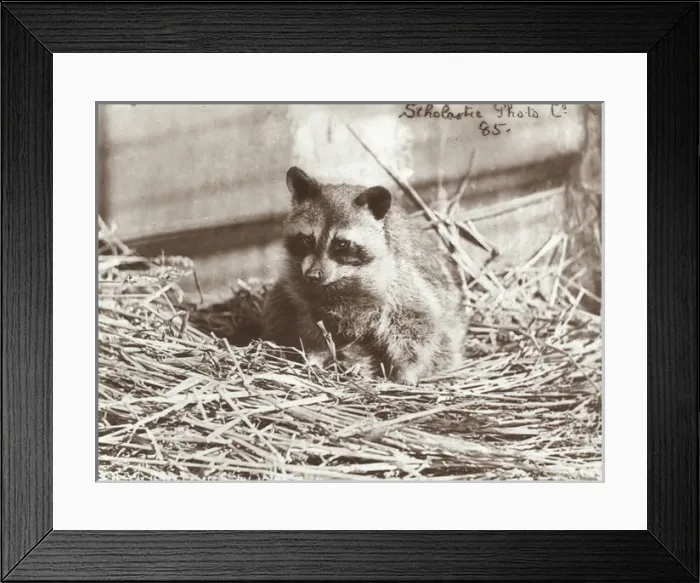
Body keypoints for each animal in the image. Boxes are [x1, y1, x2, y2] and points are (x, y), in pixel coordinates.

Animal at [261, 166, 466, 385]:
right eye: (307, 239)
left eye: (341, 244)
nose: (313, 275)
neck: (342, 280)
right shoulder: (305, 296)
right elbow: (312, 324)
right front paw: (316, 353)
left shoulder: (403, 283)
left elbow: (418, 321)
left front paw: (407, 370)